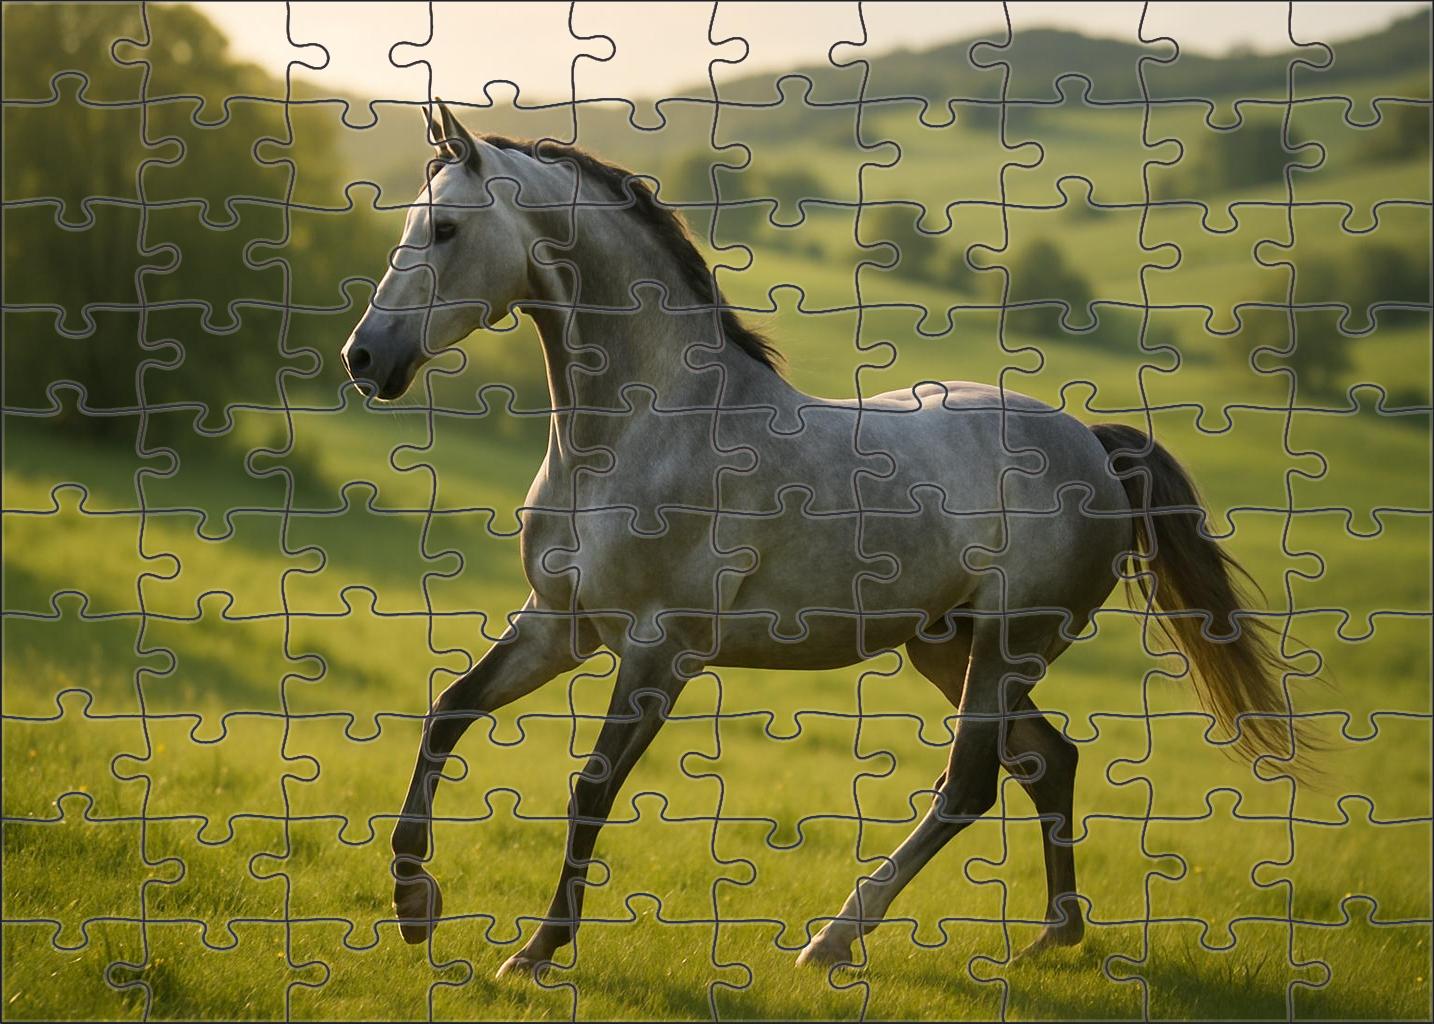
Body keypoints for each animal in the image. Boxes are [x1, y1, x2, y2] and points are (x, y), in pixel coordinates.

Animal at [341, 100, 1301, 979]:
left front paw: (537, 952)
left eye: (446, 228)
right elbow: (448, 713)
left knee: (972, 785)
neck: (640, 431)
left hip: (1006, 647)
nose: (363, 358)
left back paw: (835, 940)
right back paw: (1048, 939)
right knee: (1048, 761)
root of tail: (1095, 449)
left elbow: (591, 788)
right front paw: (415, 906)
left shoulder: (659, 649)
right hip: (947, 648)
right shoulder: (560, 623)